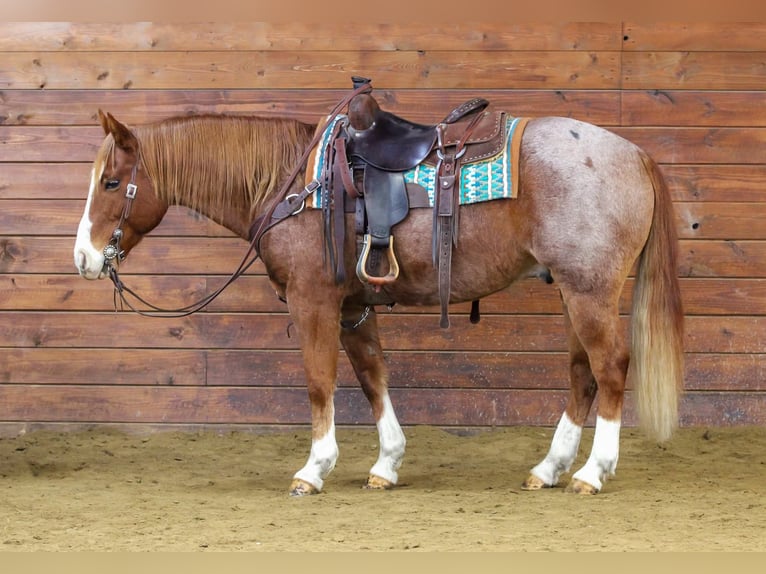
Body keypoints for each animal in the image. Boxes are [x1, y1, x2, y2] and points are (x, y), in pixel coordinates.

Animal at [73, 91, 684, 496]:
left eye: (111, 182)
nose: (83, 257)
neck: (297, 185)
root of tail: (633, 154)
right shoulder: (353, 307)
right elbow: (373, 378)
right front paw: (386, 464)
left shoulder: (313, 300)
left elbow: (320, 383)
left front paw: (313, 469)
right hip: (573, 293)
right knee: (583, 374)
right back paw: (549, 469)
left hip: (589, 290)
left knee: (610, 366)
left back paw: (591, 473)